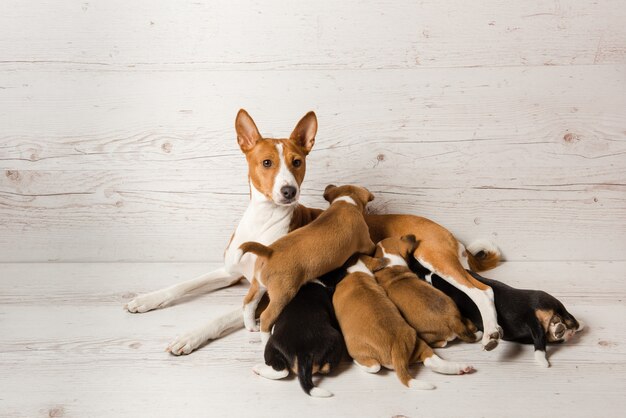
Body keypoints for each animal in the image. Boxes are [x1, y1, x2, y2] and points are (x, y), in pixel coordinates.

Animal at [238, 183, 376, 342]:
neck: (345, 202)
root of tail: (269, 252)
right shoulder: (367, 243)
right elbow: (373, 247)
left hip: (258, 285)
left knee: (248, 303)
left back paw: (251, 326)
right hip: (282, 294)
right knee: (266, 318)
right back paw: (265, 339)